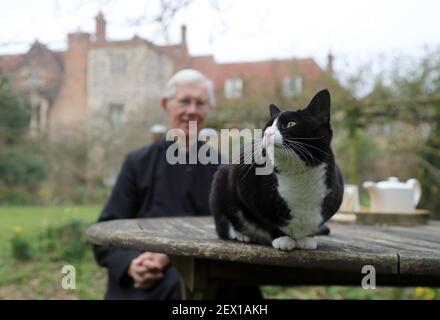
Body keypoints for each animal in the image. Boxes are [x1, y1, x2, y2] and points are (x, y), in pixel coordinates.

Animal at [210, 89, 344, 250]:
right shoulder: (242, 184)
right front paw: (282, 238)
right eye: (267, 126)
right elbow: (266, 218)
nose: (268, 133)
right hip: (220, 185)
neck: (297, 175)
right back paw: (242, 235)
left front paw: (307, 238)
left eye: (291, 124)